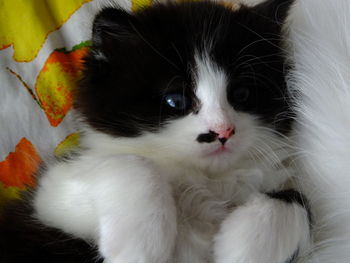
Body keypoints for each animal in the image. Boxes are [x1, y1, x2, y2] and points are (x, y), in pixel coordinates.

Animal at [0, 0, 312, 263]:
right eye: (176, 101)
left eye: (242, 94)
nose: (223, 131)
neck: (204, 183)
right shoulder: (46, 199)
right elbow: (135, 164)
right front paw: (137, 250)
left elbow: (296, 199)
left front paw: (243, 249)